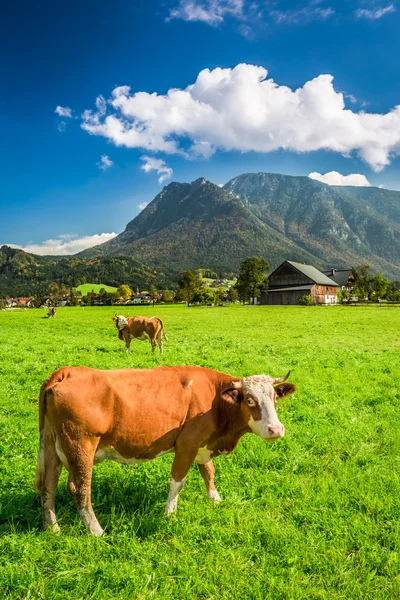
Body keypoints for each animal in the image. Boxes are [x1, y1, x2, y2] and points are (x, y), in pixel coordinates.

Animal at [34, 364, 296, 536]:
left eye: (274, 398)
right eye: (250, 400)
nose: (276, 429)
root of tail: (66, 372)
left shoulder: (202, 444)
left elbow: (208, 471)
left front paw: (215, 499)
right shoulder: (187, 443)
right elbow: (177, 481)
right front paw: (169, 514)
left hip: (53, 445)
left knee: (49, 485)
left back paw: (52, 527)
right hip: (80, 446)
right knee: (79, 489)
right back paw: (96, 530)